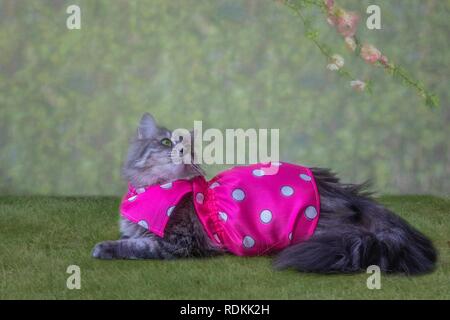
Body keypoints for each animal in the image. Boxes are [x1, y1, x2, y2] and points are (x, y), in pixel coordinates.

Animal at [93, 113, 438, 276]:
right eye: (166, 142)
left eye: (188, 146)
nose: (181, 151)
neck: (151, 188)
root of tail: (348, 194)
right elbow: (131, 237)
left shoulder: (179, 242)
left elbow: (135, 246)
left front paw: (104, 248)